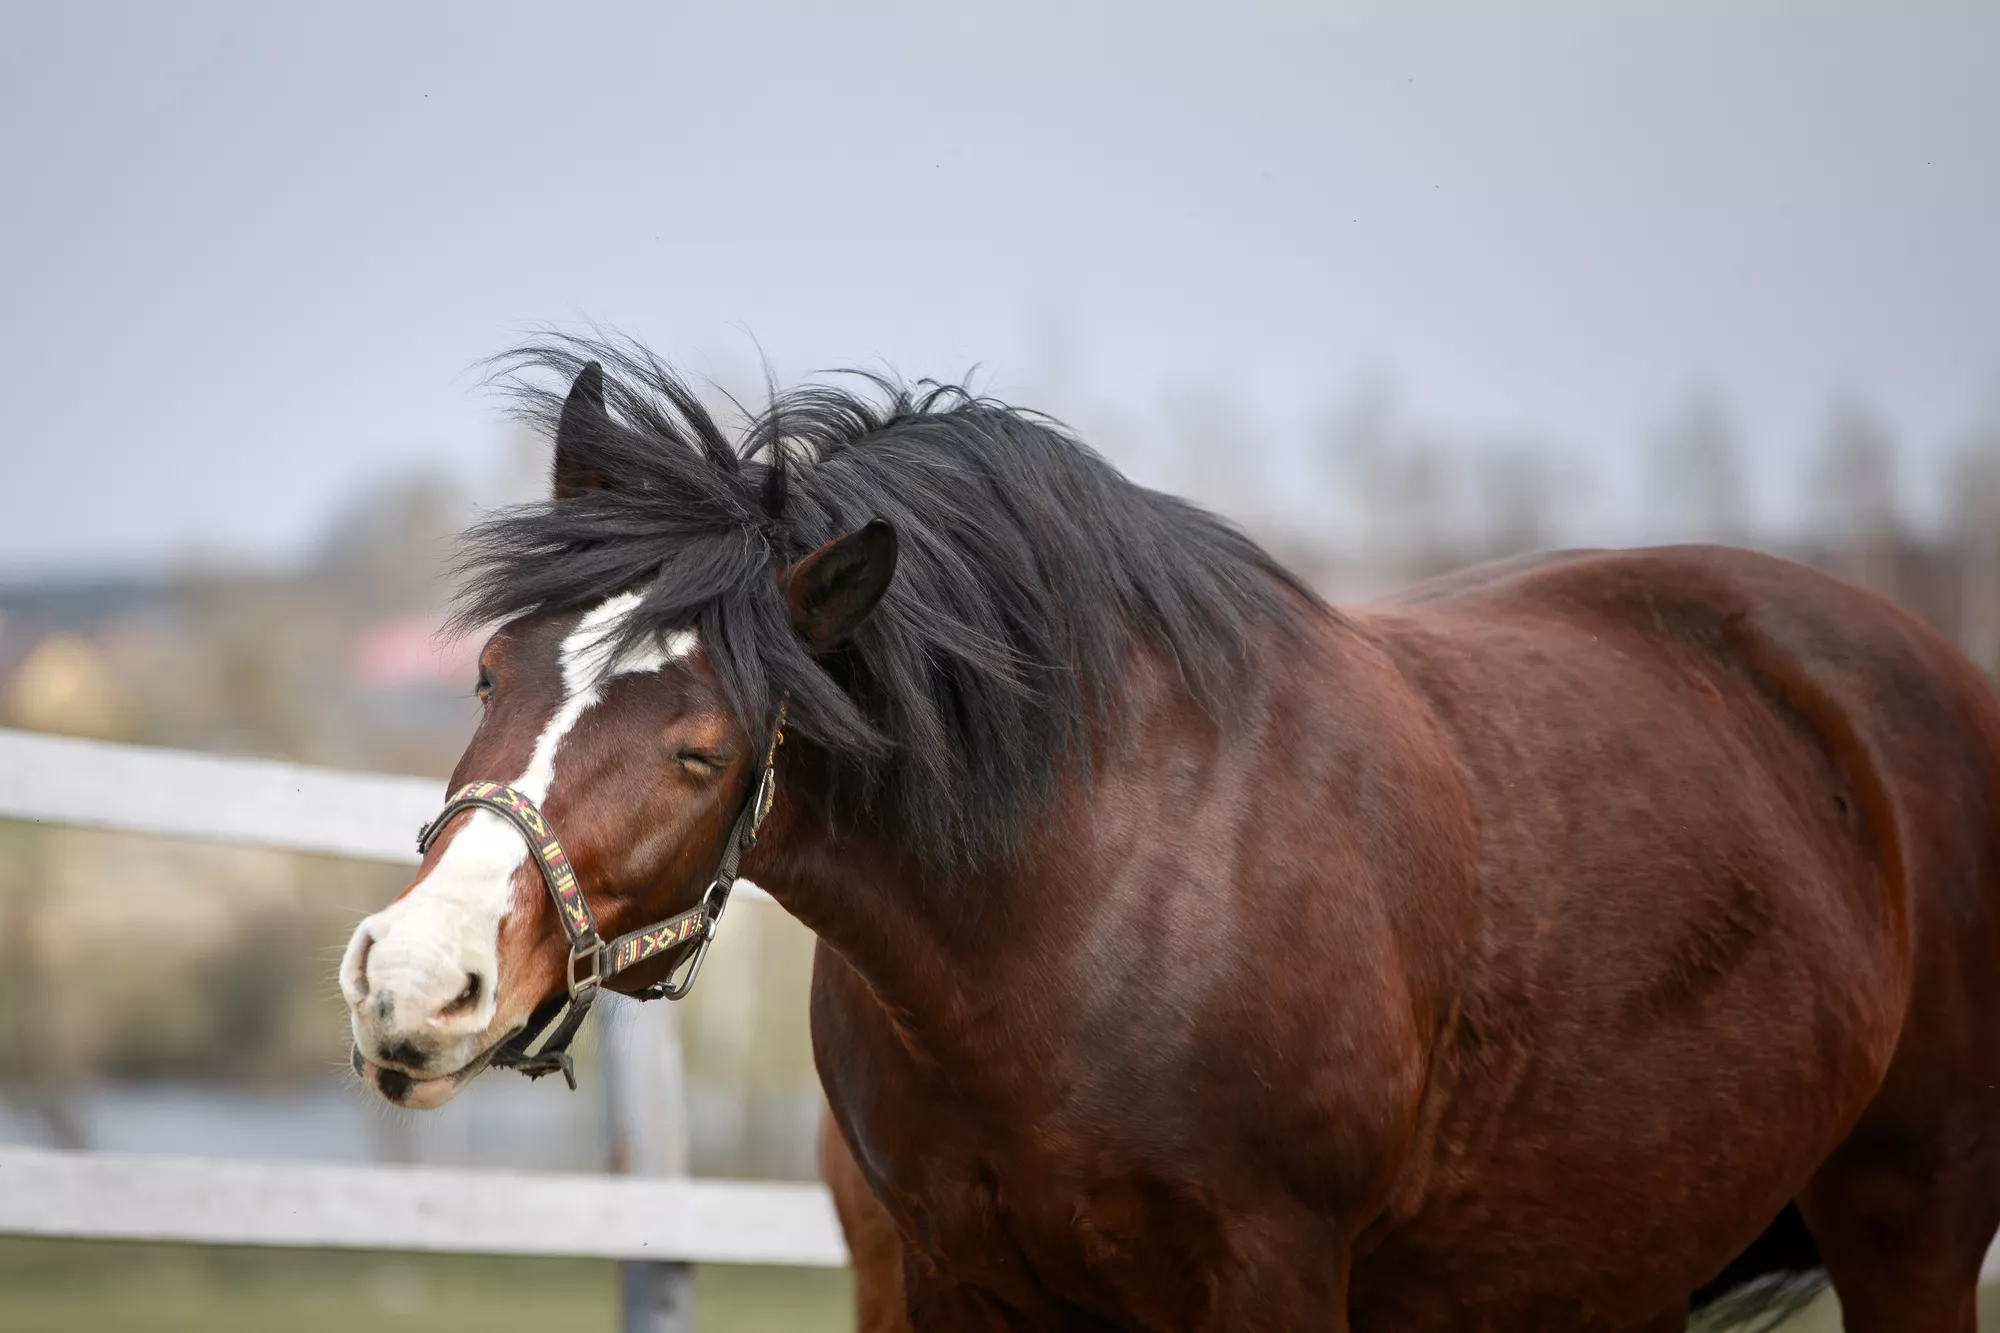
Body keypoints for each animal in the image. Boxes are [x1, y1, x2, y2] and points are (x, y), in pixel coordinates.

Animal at [340, 344, 2000, 1328]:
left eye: (701, 749)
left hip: (1906, 1220)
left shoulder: (1270, 1276)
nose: (412, 984)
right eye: (490, 675)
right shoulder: (955, 1277)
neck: (1086, 904)